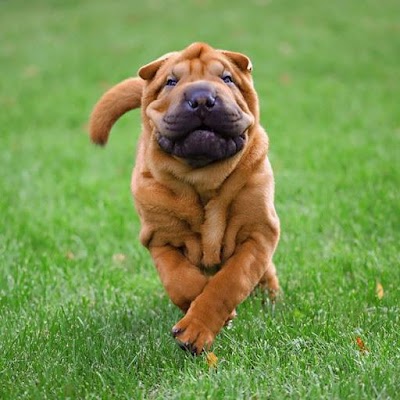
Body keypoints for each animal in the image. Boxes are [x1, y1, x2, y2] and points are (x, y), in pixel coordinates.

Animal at [89, 42, 280, 355]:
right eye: (170, 82)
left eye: (227, 78)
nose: (201, 98)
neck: (202, 177)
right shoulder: (159, 238)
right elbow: (181, 280)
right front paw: (200, 319)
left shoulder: (258, 233)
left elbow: (229, 281)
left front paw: (196, 331)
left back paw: (271, 297)